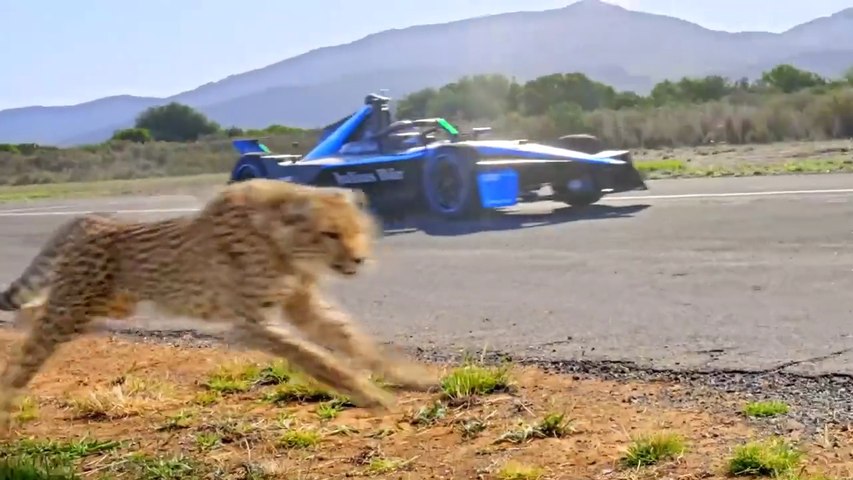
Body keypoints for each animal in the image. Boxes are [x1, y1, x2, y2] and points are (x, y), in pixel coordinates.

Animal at [0, 178, 438, 434]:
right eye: (330, 234)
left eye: (360, 229)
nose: (359, 259)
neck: (277, 234)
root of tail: (91, 219)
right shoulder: (252, 321)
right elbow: (318, 358)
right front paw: (368, 393)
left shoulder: (300, 304)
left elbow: (352, 340)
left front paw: (408, 376)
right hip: (73, 310)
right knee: (30, 350)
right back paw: (6, 403)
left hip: (109, 305)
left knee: (32, 313)